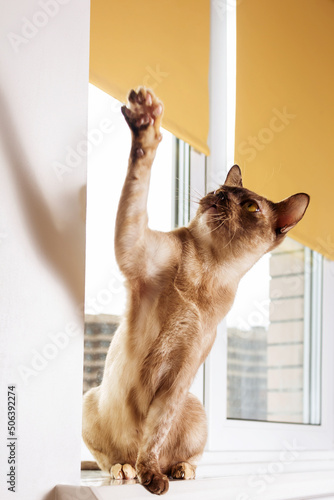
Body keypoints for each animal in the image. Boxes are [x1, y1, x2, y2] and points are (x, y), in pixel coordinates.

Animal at [82, 88, 310, 494]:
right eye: (221, 191)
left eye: (249, 206)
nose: (218, 198)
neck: (208, 272)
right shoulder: (133, 247)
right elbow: (140, 173)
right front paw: (146, 120)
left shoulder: (178, 378)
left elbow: (155, 436)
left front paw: (154, 479)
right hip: (89, 402)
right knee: (110, 459)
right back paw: (126, 471)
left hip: (194, 408)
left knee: (177, 455)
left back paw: (179, 470)